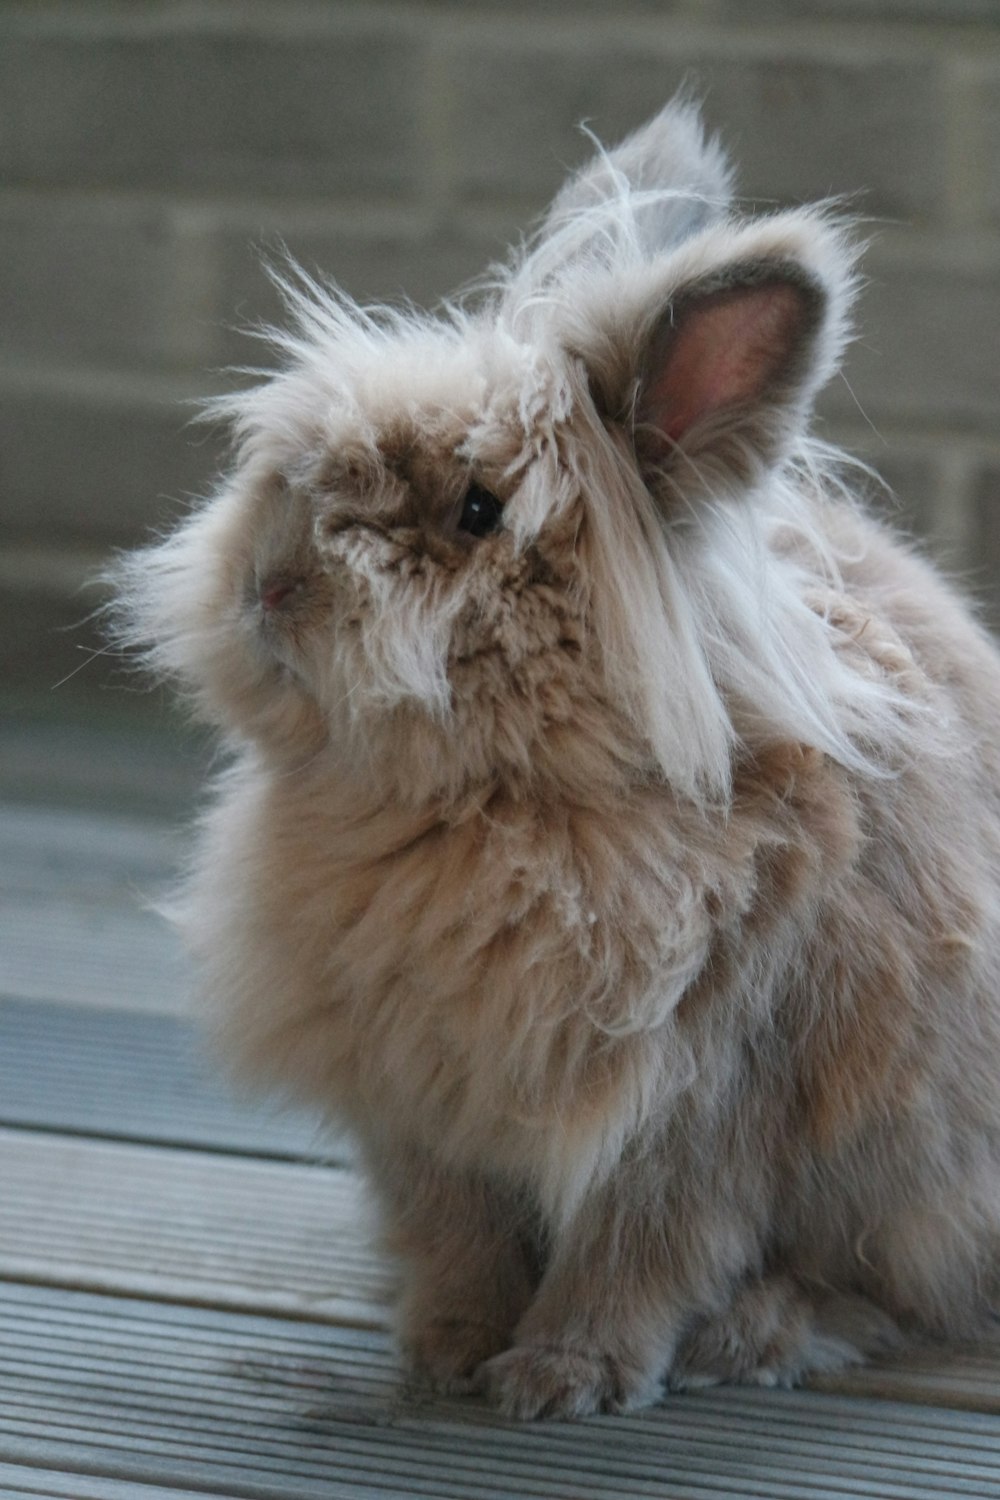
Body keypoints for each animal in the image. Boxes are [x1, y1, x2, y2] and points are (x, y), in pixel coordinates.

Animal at [117, 105, 1000, 1416]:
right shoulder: (423, 1107)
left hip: (924, 1180)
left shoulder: (699, 1107)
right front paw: (445, 1351)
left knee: (902, 1295)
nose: (267, 586)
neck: (491, 809)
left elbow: (640, 1252)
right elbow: (458, 1233)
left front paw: (558, 1378)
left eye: (480, 512)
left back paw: (760, 1333)